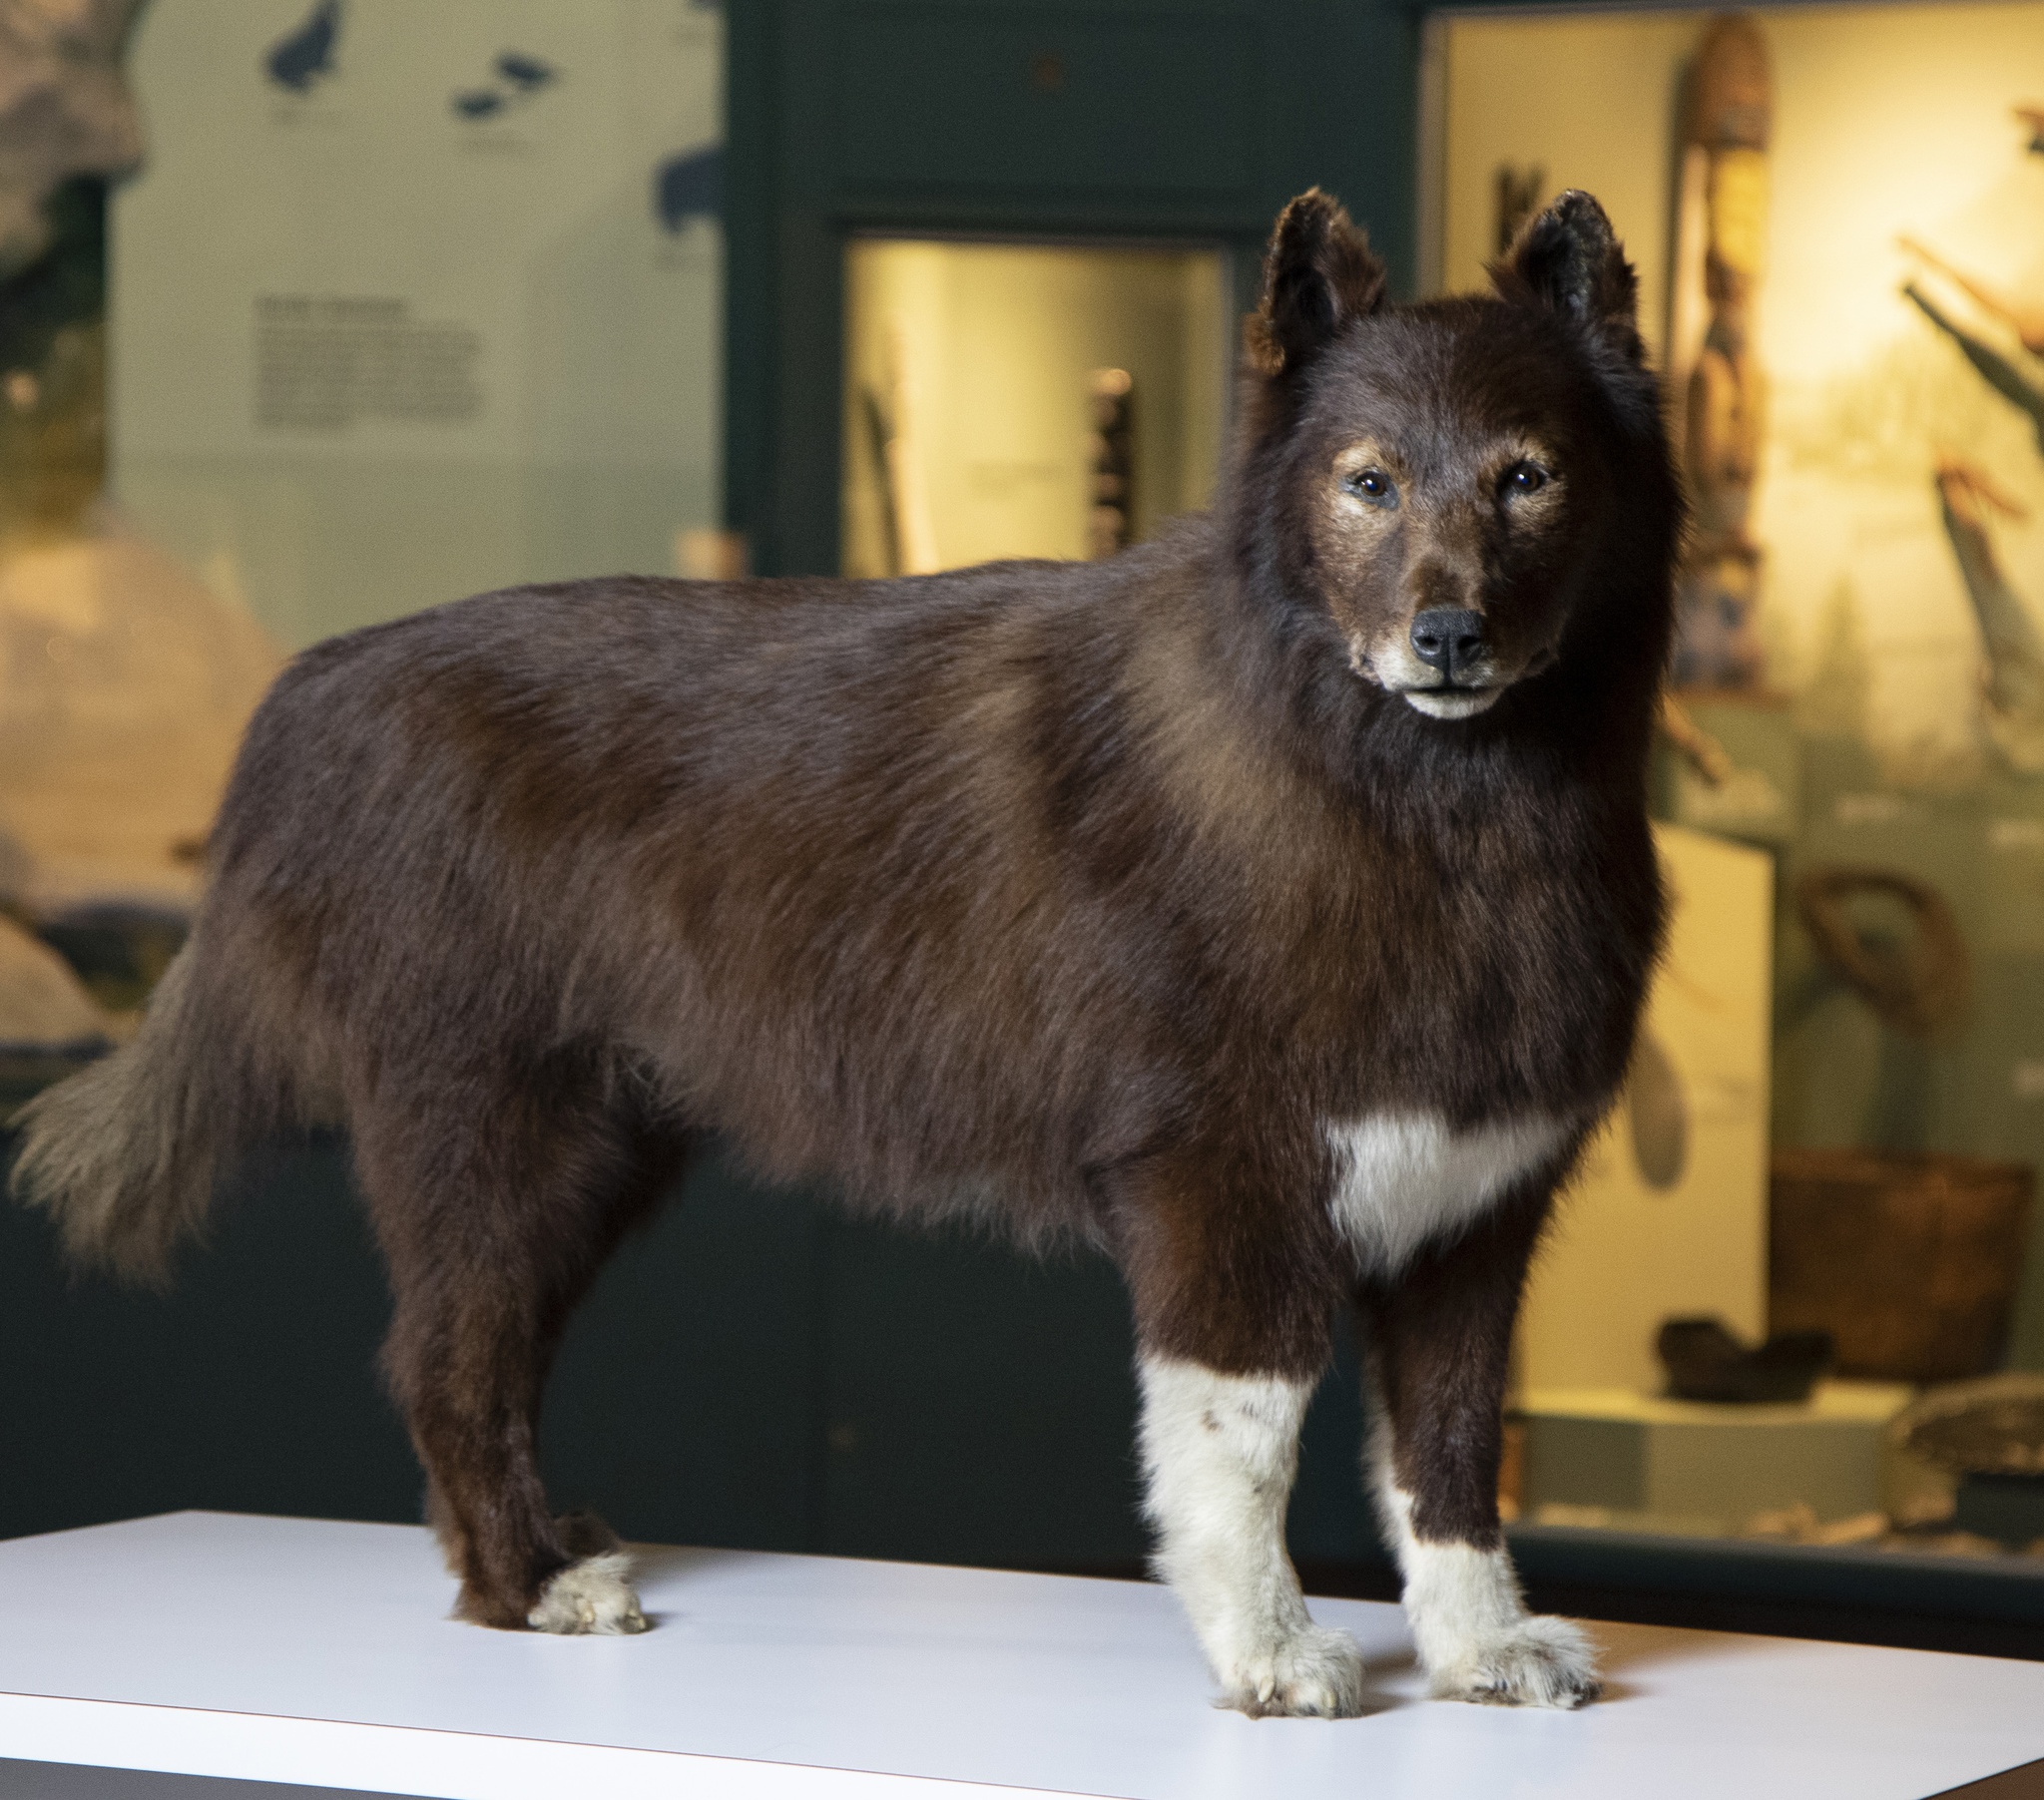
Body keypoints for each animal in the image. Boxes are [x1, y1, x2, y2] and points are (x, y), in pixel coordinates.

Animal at [12, 190, 1676, 1724]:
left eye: (1528, 476)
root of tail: (310, 694)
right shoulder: (1224, 1191)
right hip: (491, 1141)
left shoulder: (1472, 1214)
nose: (1447, 636)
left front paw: (1479, 1651)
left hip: (590, 1157)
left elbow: (1449, 1454)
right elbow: (1238, 1453)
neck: (1422, 810)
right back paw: (532, 1586)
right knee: (443, 1365)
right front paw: (1269, 1659)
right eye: (1368, 482)